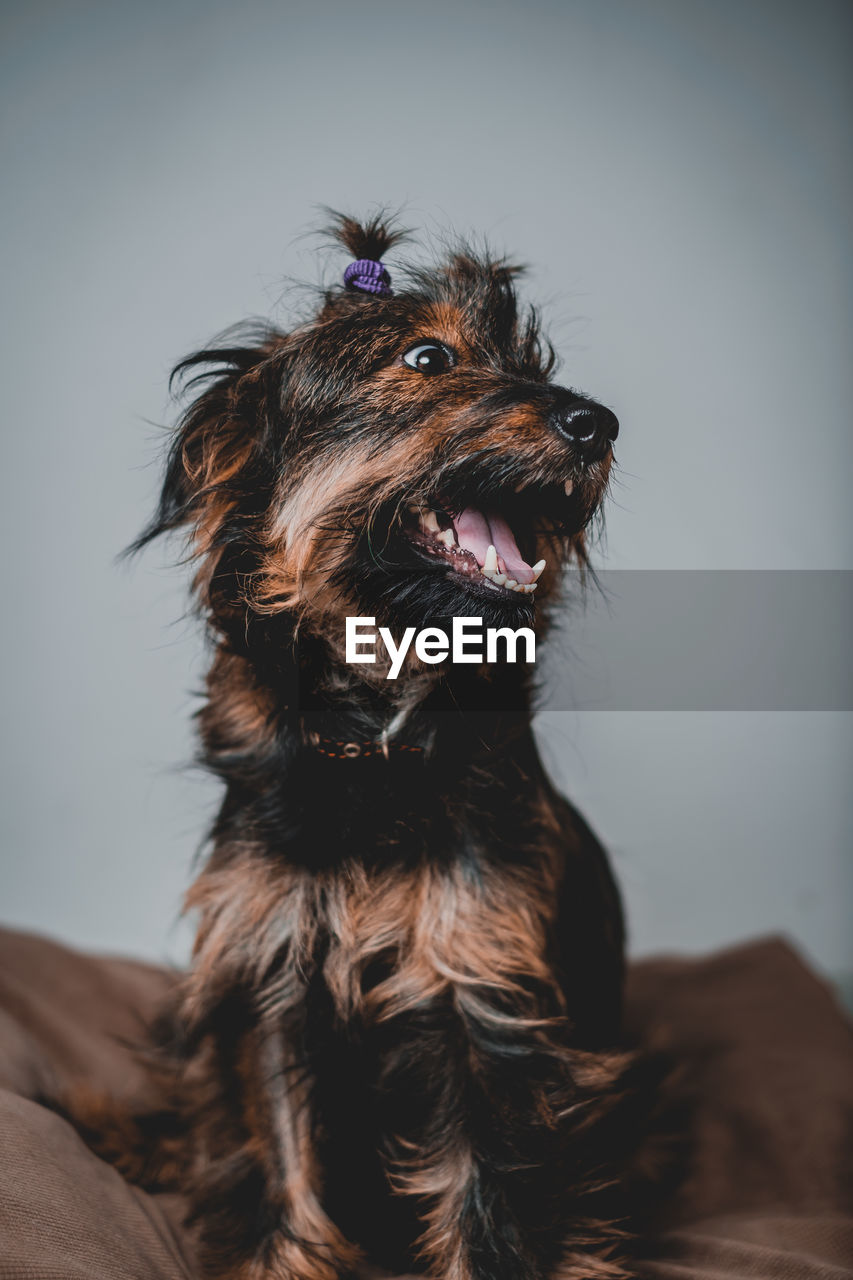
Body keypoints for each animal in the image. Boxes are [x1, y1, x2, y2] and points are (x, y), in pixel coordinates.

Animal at [81, 215, 637, 1274]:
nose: (597, 422)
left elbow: (485, 1210)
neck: (375, 732)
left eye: (536, 365)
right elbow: (284, 1174)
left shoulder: (481, 994)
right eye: (426, 359)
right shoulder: (270, 981)